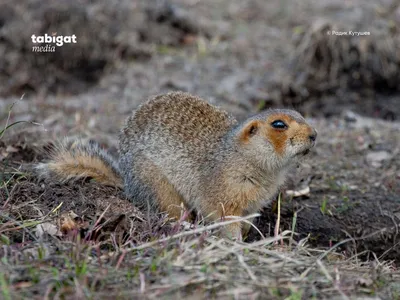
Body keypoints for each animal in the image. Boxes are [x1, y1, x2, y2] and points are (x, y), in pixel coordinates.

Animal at [38, 91, 318, 239]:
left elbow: (248, 219)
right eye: (279, 124)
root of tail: (126, 180)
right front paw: (236, 242)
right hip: (159, 185)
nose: (314, 134)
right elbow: (226, 220)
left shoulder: (253, 203)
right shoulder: (224, 196)